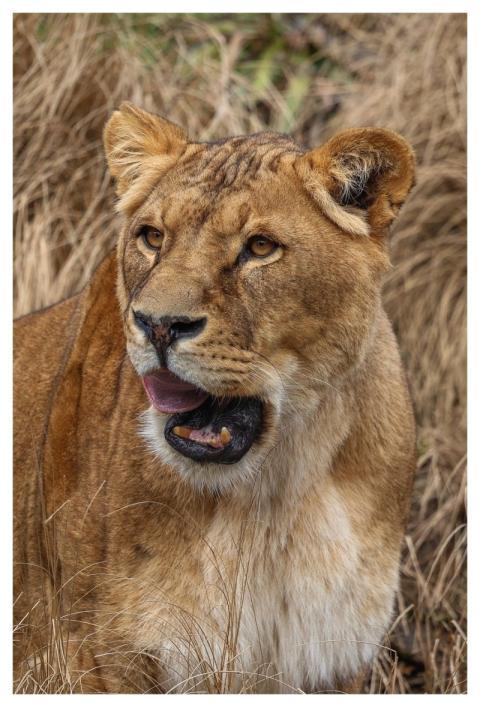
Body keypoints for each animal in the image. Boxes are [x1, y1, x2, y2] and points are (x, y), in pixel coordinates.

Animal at [13, 102, 416, 693]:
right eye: (152, 237)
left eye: (260, 248)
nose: (157, 325)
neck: (276, 491)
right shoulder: (97, 656)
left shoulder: (335, 657)